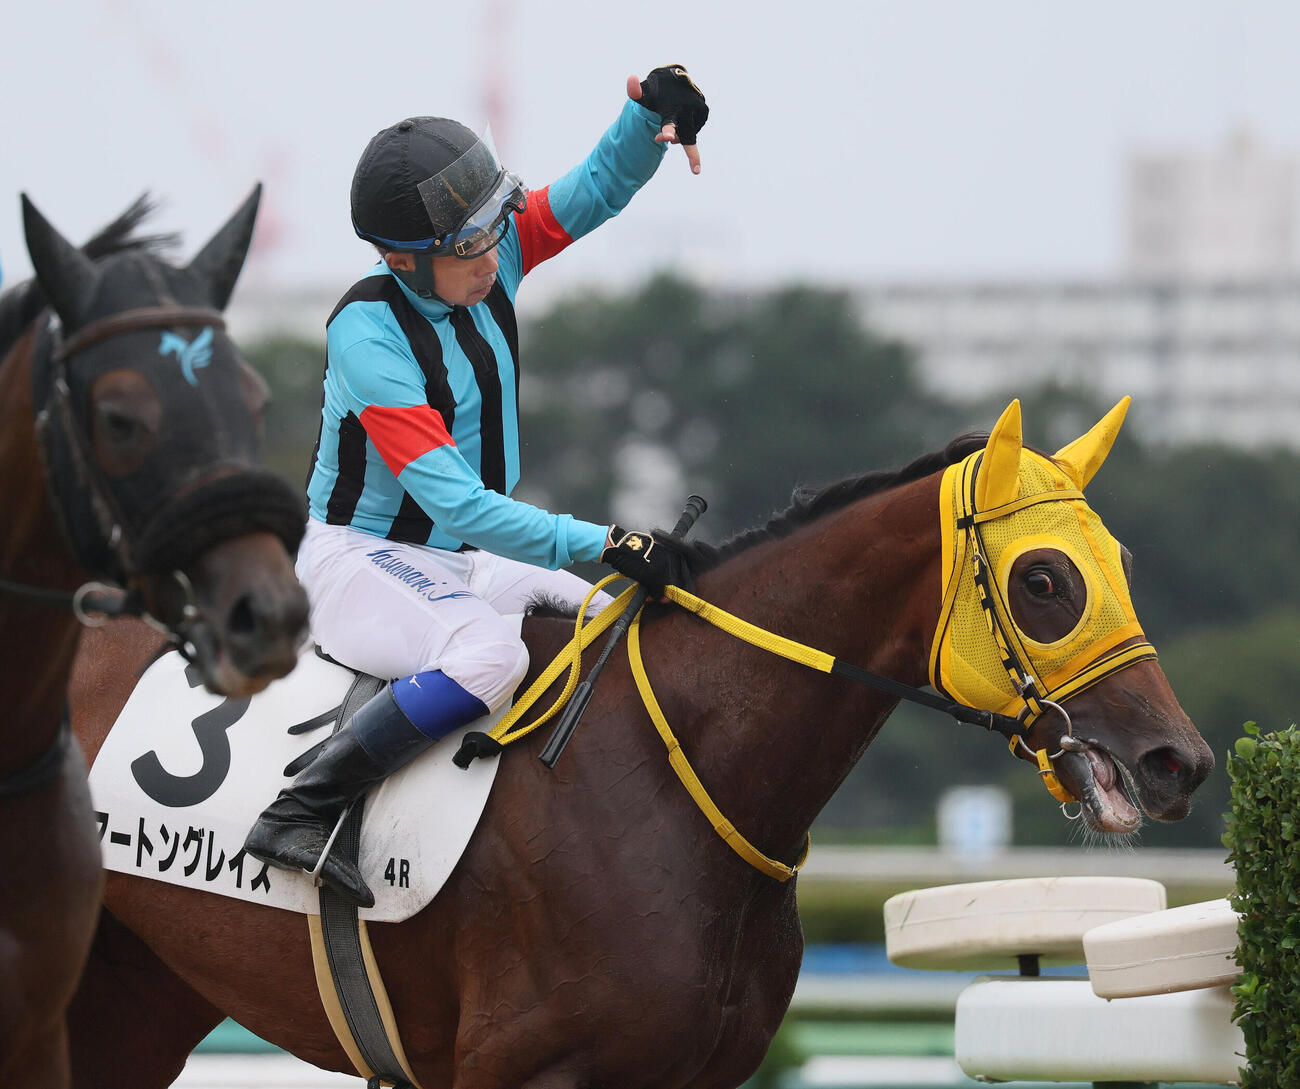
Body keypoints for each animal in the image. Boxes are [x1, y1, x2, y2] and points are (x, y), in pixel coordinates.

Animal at [63, 399, 1213, 1089]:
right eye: (1044, 581)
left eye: (1118, 559)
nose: (1178, 762)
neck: (677, 780)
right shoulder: (521, 1072)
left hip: (139, 994)